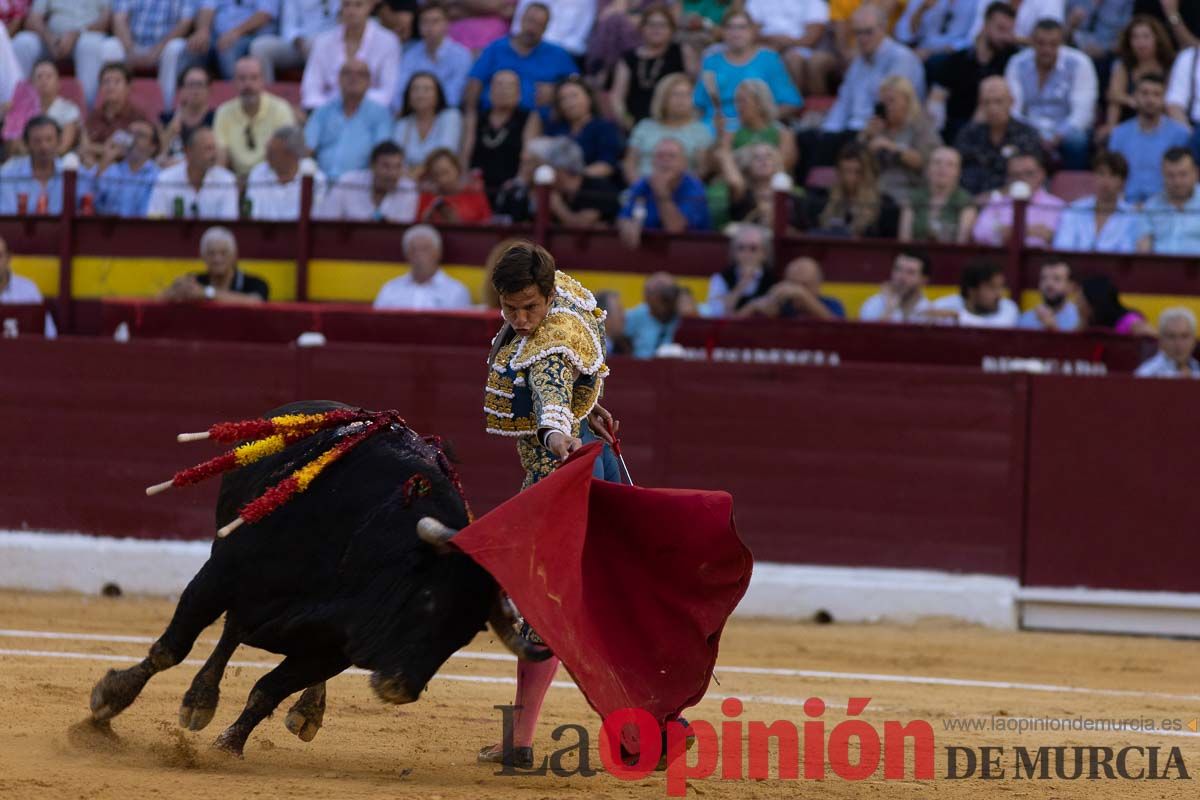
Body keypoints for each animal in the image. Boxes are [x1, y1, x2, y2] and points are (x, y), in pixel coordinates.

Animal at [87, 400, 549, 758]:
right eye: (428, 599)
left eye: (466, 635)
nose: (402, 688)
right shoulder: (218, 577)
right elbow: (171, 649)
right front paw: (106, 706)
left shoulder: (332, 648)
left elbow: (268, 690)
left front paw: (229, 746)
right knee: (229, 632)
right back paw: (199, 700)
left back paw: (302, 710)